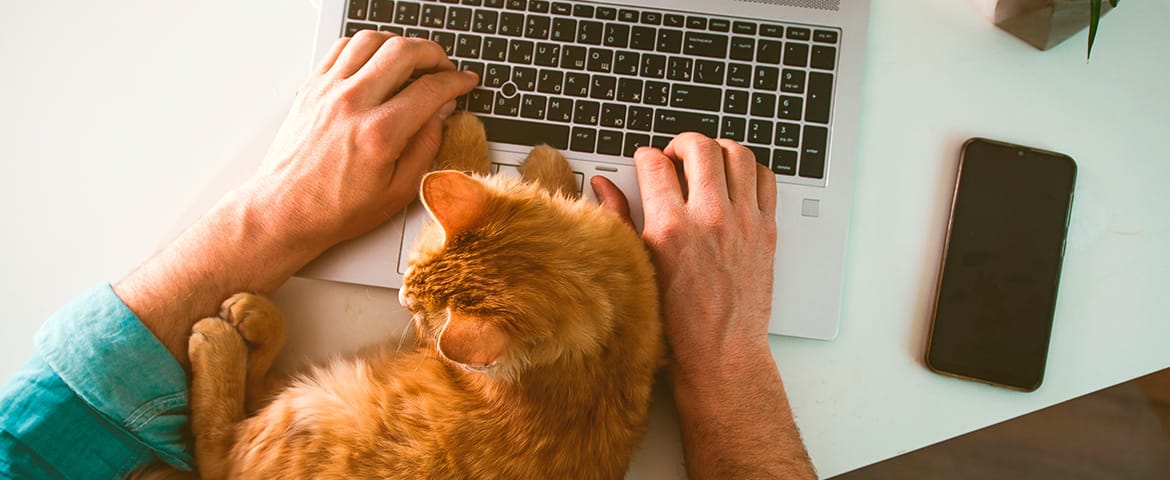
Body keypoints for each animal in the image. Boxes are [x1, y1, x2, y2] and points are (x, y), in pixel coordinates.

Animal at [141, 113, 664, 479]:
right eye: (409, 270)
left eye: (417, 310)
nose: (398, 297)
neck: (604, 343)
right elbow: (536, 181)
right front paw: (544, 162)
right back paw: (254, 317)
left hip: (311, 409)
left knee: (217, 444)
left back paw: (226, 336)